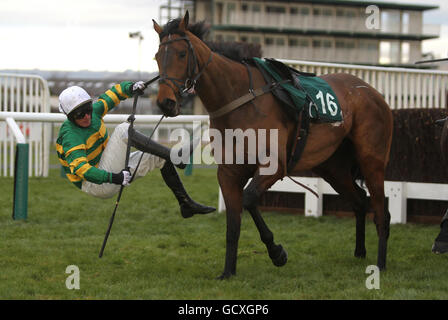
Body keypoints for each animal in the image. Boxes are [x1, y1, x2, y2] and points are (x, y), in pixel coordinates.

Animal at [153, 11, 392, 278]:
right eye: (157, 57)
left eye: (182, 54)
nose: (165, 103)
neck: (238, 99)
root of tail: (372, 92)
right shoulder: (228, 172)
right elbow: (232, 225)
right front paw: (228, 272)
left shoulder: (274, 166)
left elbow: (248, 199)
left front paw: (277, 252)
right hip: (333, 167)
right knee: (360, 201)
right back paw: (360, 252)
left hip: (372, 159)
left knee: (381, 210)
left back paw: (380, 264)